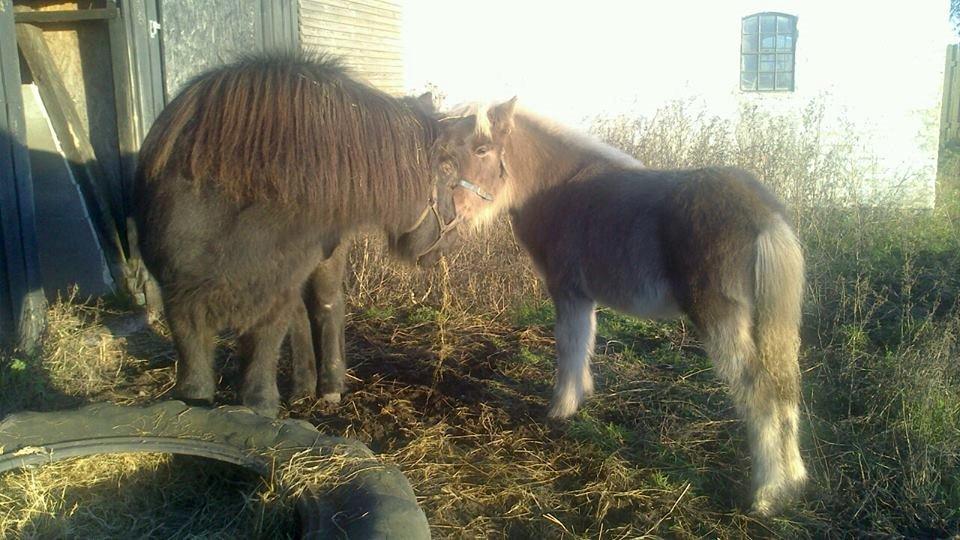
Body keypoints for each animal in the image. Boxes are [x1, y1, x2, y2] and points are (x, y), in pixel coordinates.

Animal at [134, 53, 462, 418]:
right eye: (448, 174)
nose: (450, 239)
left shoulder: (272, 298)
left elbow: (259, 382)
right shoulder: (181, 302)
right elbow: (196, 388)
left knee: (327, 305)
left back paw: (330, 387)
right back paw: (305, 388)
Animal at [438, 99, 808, 516]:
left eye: (483, 149)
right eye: (451, 152)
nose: (452, 213)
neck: (555, 189)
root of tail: (764, 215)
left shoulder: (568, 292)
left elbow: (569, 346)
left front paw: (560, 408)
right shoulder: (585, 298)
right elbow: (585, 343)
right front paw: (581, 395)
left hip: (721, 319)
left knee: (760, 392)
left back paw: (765, 494)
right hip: (770, 324)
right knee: (786, 389)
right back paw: (793, 481)